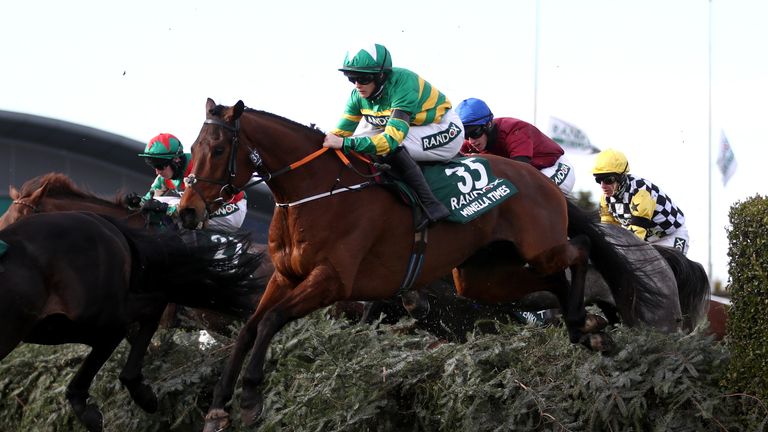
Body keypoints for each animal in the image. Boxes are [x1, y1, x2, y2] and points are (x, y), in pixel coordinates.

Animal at [0, 211, 260, 430]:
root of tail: (100, 221)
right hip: (49, 325)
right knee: (112, 334)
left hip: (95, 307)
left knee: (150, 305)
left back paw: (136, 393)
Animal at [177, 99, 664, 430]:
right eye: (195, 146)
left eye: (217, 149)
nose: (187, 212)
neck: (318, 191)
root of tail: (539, 180)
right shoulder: (284, 276)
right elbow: (249, 327)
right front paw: (218, 407)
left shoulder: (332, 281)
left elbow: (271, 321)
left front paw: (250, 399)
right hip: (483, 277)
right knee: (552, 280)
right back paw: (586, 329)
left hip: (538, 247)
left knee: (578, 248)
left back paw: (584, 322)